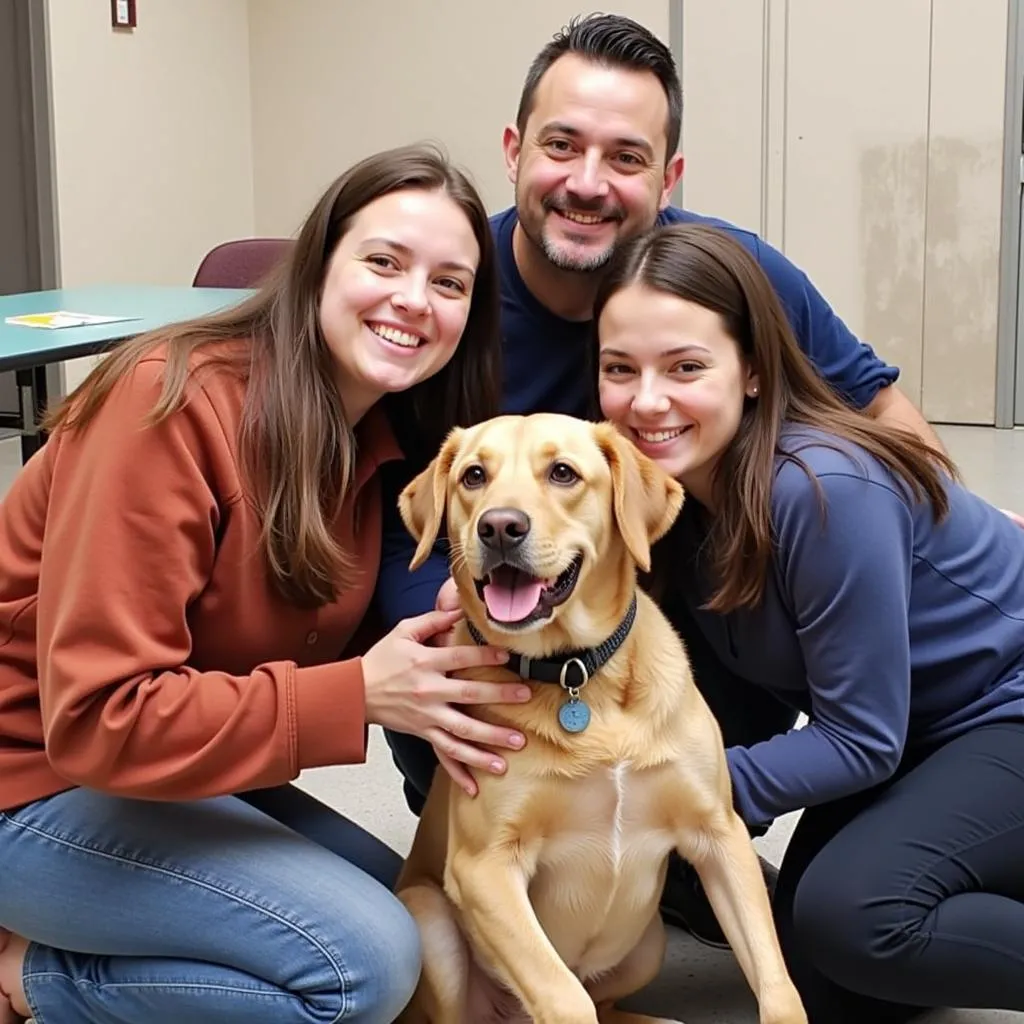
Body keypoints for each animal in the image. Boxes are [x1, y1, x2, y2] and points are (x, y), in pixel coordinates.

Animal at [395, 413, 802, 1024]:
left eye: (563, 472)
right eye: (474, 476)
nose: (499, 527)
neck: (577, 676)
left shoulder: (719, 834)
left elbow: (778, 983)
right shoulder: (483, 868)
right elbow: (562, 994)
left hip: (648, 940)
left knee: (605, 999)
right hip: (429, 920)